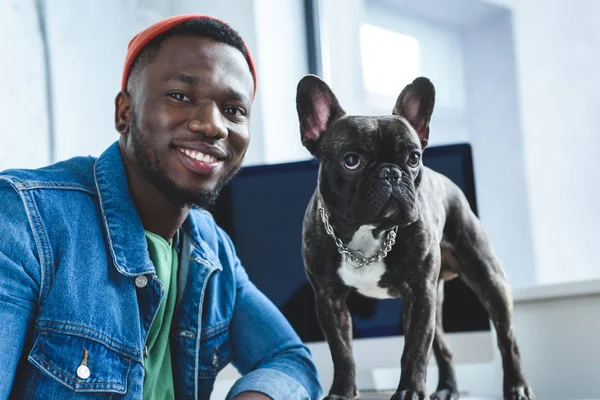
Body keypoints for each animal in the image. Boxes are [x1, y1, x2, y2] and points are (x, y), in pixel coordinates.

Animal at [296, 76, 536, 400]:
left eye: (413, 158)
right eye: (351, 160)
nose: (391, 173)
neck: (369, 233)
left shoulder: (420, 292)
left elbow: (414, 349)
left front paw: (409, 391)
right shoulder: (329, 298)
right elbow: (342, 351)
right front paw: (342, 393)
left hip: (488, 279)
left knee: (506, 339)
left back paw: (517, 386)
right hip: (435, 302)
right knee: (444, 348)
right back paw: (447, 388)